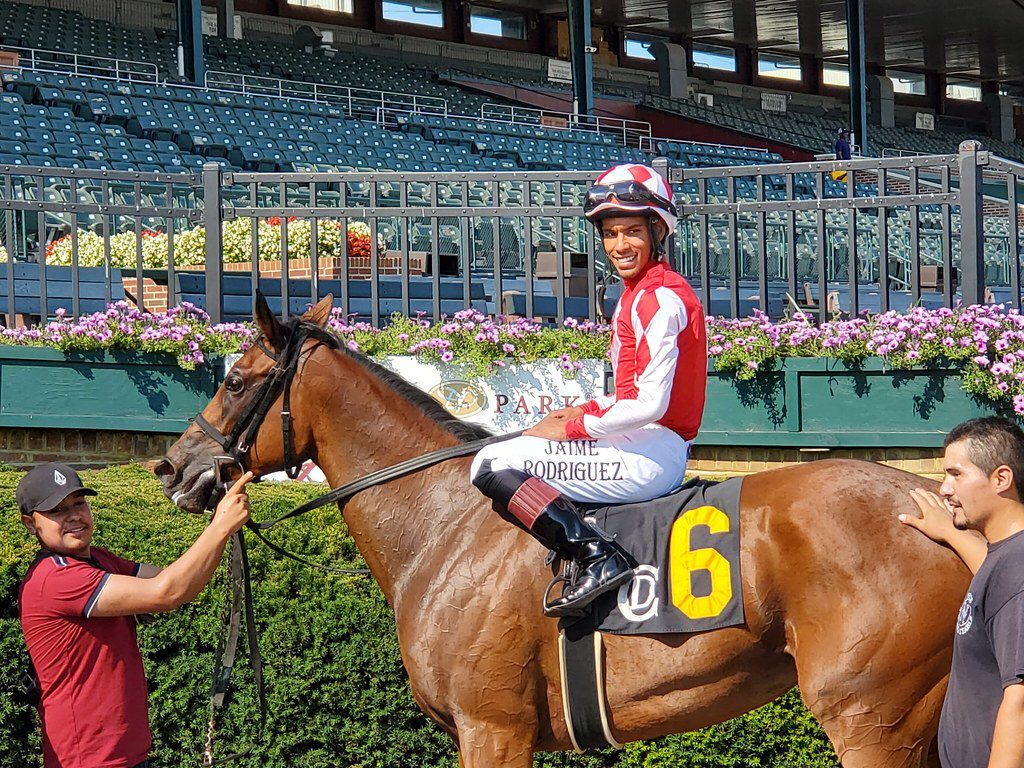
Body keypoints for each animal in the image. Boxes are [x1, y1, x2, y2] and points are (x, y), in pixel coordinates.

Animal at [157, 296, 966, 765]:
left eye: (234, 381)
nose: (173, 466)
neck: (443, 526)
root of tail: (940, 506)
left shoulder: (493, 728)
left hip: (871, 717)